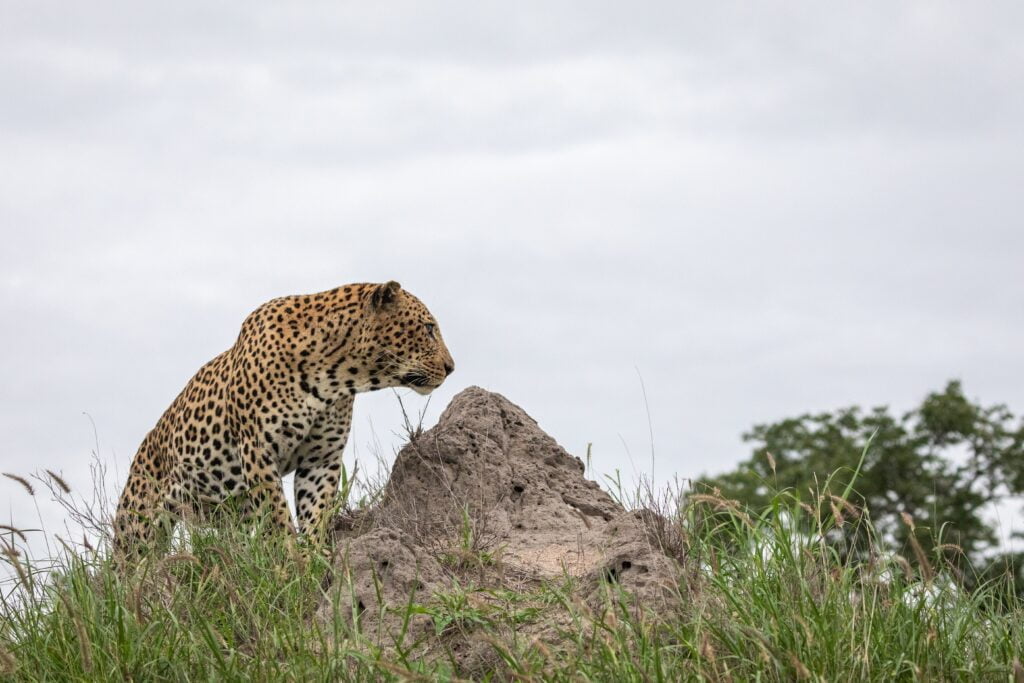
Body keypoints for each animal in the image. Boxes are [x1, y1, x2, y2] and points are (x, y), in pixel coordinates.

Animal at [109, 282, 456, 561]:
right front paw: (291, 556)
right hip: (138, 525)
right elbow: (277, 512)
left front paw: (315, 555)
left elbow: (316, 511)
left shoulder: (321, 459)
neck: (336, 375)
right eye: (428, 328)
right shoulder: (257, 450)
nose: (451, 367)